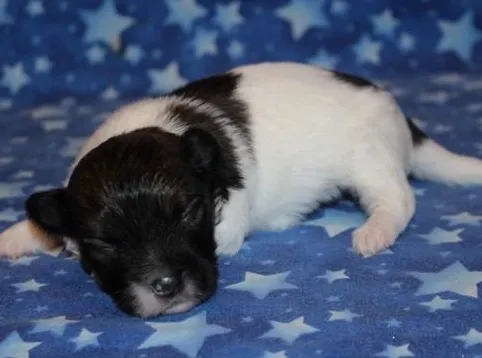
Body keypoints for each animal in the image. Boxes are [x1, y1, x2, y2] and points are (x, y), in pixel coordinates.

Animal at [0, 63, 482, 318]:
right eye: (104, 243)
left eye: (188, 214)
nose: (165, 285)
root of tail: (400, 117)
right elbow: (51, 225)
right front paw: (20, 236)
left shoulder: (228, 220)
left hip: (368, 158)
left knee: (399, 198)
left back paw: (376, 230)